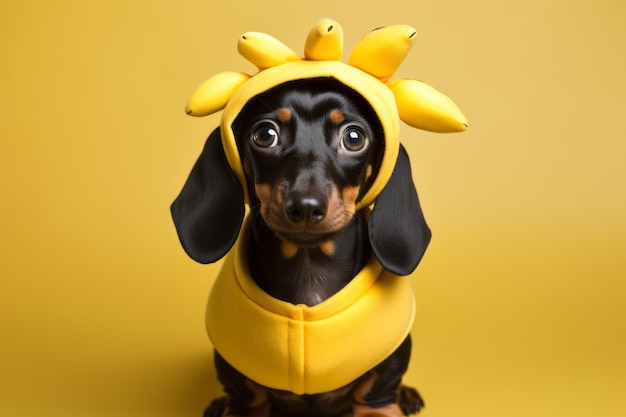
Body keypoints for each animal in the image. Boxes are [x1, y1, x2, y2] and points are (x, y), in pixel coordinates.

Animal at [173, 76, 432, 414]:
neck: (309, 269)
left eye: (354, 138)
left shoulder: (382, 383)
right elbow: (247, 397)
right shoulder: (242, 390)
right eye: (265, 135)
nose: (305, 207)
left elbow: (377, 393)